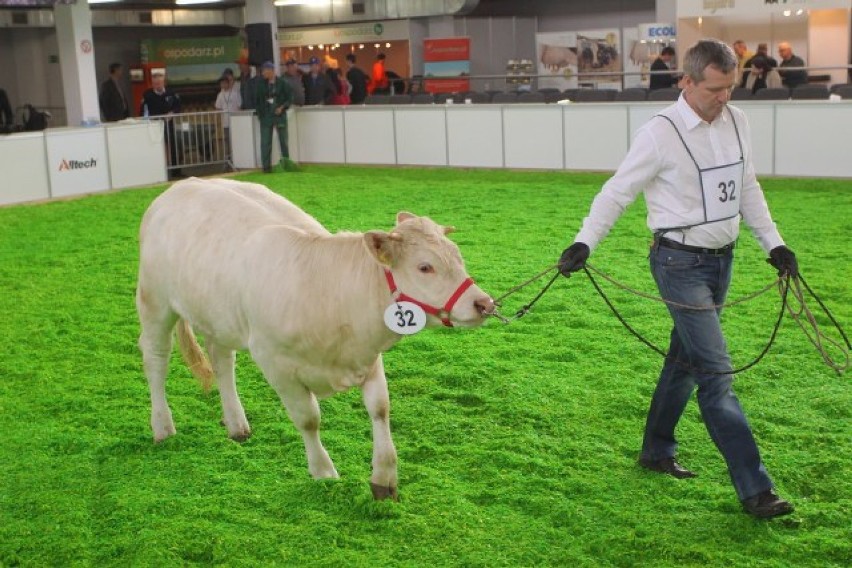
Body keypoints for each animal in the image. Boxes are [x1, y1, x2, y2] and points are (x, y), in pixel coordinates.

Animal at [134, 176, 492, 496]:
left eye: (458, 257)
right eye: (424, 267)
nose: (484, 303)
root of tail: (180, 186)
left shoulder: (367, 356)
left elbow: (380, 408)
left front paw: (384, 477)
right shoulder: (274, 361)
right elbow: (309, 419)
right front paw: (323, 473)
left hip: (217, 314)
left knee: (222, 362)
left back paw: (237, 425)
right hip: (154, 301)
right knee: (156, 360)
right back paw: (163, 427)